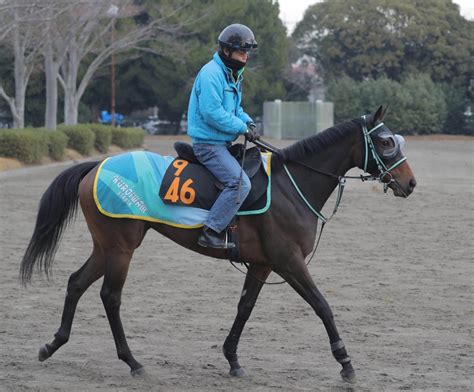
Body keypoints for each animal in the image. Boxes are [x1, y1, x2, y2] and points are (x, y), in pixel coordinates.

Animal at [20, 106, 416, 382]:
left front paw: (232, 359)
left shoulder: (263, 264)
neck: (290, 186)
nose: (410, 183)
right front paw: (345, 362)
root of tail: (96, 166)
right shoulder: (289, 262)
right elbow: (322, 306)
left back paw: (52, 344)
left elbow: (244, 308)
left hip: (106, 246)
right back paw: (132, 361)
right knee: (110, 297)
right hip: (121, 248)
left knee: (76, 282)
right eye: (385, 142)